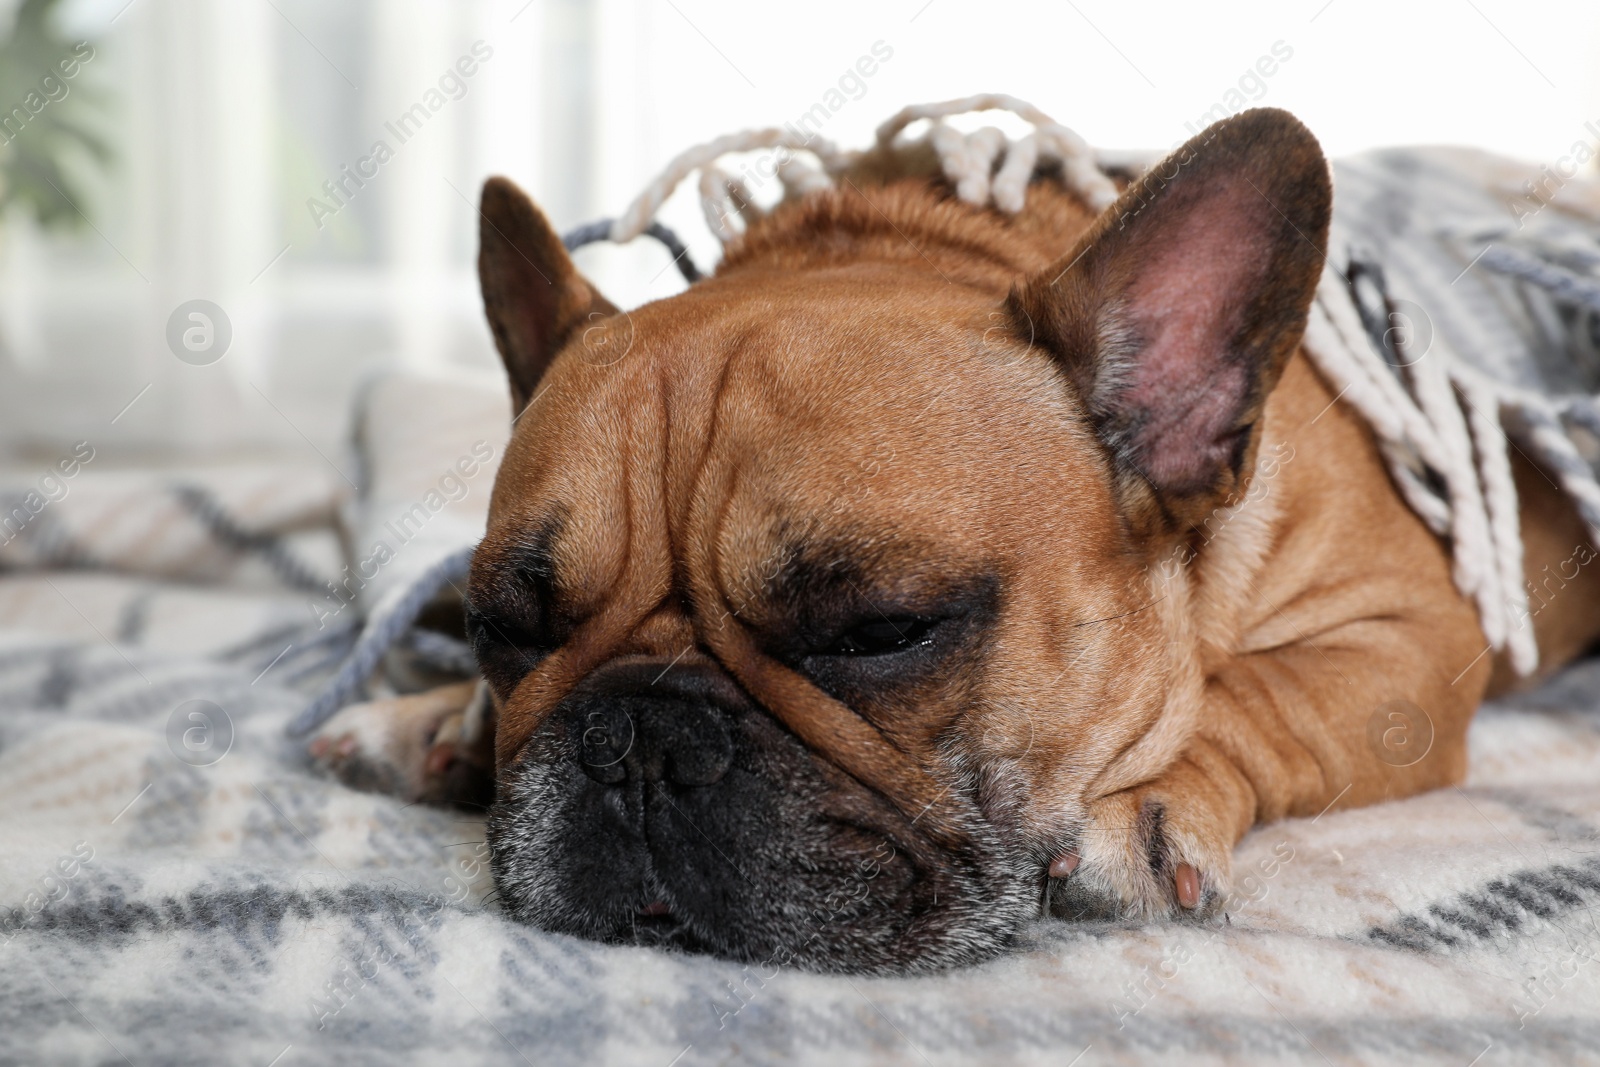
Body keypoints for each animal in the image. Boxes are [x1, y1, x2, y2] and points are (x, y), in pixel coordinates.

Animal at [305, 110, 1600, 979]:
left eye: (881, 631)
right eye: (505, 630)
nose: (638, 740)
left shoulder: (1411, 637)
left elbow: (1263, 696)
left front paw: (1148, 797)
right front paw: (434, 718)